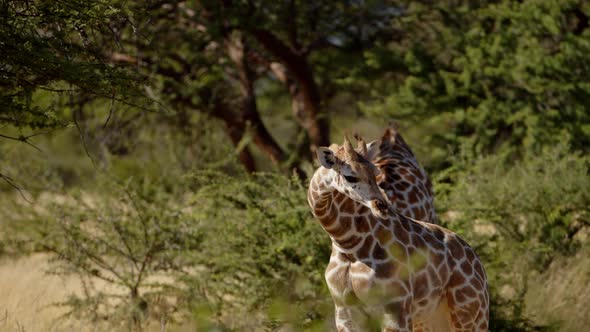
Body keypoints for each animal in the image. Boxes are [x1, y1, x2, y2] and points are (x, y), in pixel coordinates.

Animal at [310, 136, 490, 332]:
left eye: (375, 171)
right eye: (349, 176)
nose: (382, 206)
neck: (347, 243)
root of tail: (477, 262)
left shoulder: (396, 307)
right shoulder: (345, 311)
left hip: (469, 313)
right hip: (432, 318)